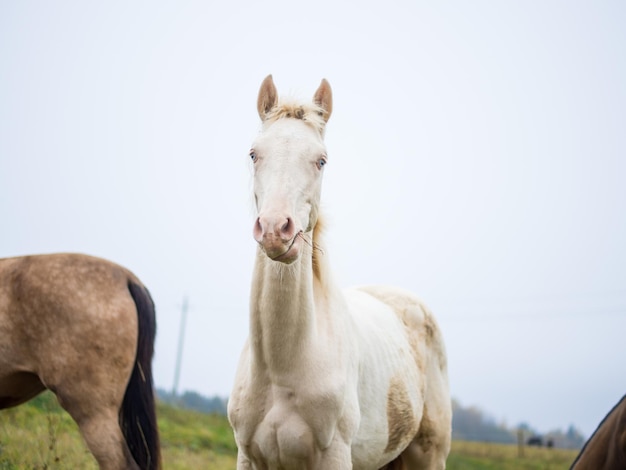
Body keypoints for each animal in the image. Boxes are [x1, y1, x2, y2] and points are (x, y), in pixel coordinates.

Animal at [227, 75, 450, 468]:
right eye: (254, 154)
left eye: (321, 160)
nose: (275, 229)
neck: (282, 368)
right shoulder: (247, 456)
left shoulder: (334, 456)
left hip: (430, 455)